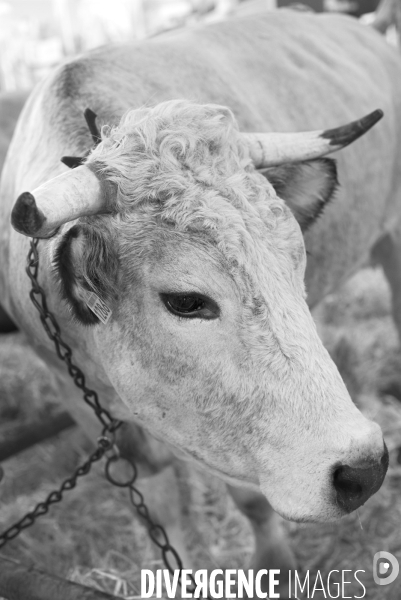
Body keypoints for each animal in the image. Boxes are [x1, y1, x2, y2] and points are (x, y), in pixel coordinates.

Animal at [0, 4, 398, 596]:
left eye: (294, 260)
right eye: (187, 301)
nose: (364, 469)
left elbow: (251, 500)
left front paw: (277, 566)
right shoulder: (86, 406)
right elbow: (159, 514)